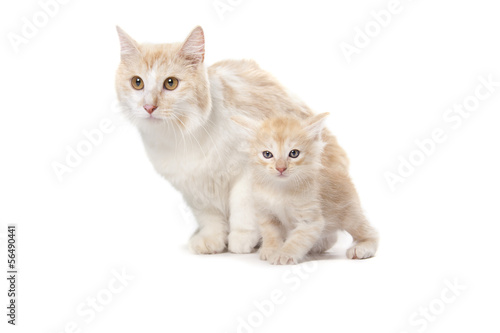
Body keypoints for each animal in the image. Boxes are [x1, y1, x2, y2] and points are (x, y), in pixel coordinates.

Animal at [115, 26, 314, 254]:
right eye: (137, 82)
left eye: (170, 83)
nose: (148, 107)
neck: (180, 136)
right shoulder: (193, 186)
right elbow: (209, 217)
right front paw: (211, 240)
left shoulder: (247, 172)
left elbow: (243, 208)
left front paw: (241, 239)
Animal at [232, 113, 380, 264]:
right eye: (267, 154)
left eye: (294, 153)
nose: (281, 168)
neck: (280, 189)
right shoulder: (267, 214)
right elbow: (271, 234)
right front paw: (270, 250)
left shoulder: (310, 220)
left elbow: (297, 240)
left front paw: (283, 254)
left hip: (350, 214)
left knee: (370, 232)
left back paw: (361, 247)